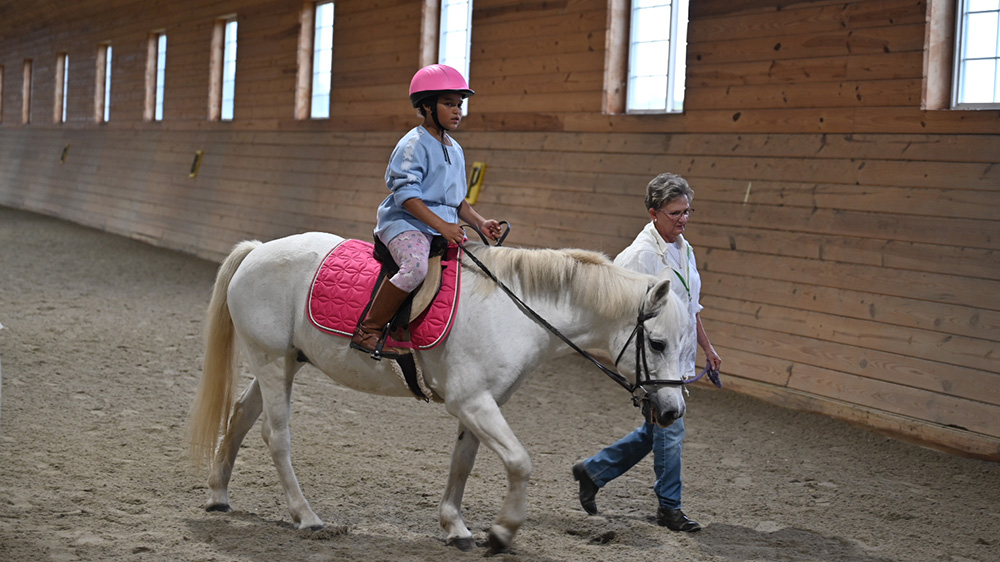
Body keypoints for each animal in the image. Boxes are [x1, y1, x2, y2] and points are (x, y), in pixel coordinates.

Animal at [188, 231, 692, 552]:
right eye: (657, 343)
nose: (671, 412)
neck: (516, 311)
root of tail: (257, 251)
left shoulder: (481, 404)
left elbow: (462, 463)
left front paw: (456, 527)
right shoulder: (472, 401)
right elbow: (519, 462)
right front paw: (502, 533)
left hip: (283, 362)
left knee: (240, 418)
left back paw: (218, 495)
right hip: (273, 362)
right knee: (276, 437)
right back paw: (306, 516)